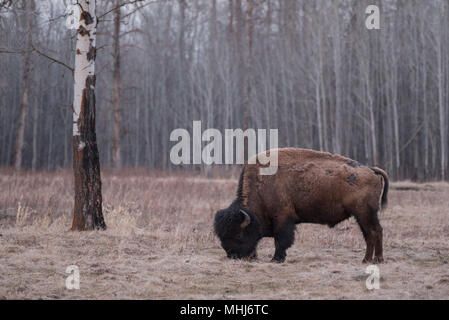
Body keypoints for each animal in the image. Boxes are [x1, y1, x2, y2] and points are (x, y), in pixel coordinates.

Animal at [214, 148, 388, 262]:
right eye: (221, 236)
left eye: (238, 234)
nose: (232, 256)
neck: (260, 186)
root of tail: (371, 170)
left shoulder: (283, 218)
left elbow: (281, 240)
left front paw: (276, 259)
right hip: (362, 215)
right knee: (370, 234)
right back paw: (367, 260)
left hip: (365, 213)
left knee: (375, 232)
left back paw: (376, 259)